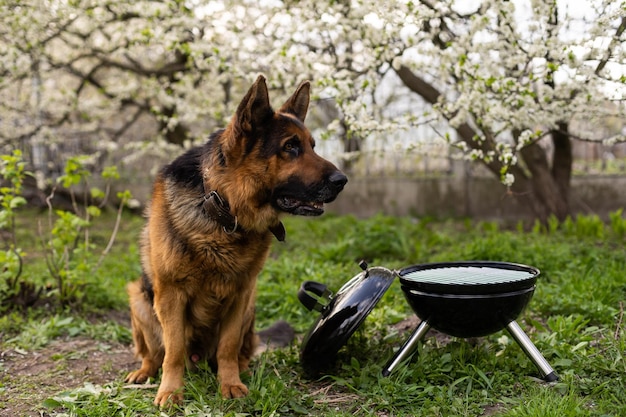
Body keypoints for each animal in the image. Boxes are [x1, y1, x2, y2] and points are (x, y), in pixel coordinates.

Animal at [123, 74, 344, 404]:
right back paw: (145, 372)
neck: (224, 208)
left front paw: (229, 384)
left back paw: (243, 369)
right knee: (153, 353)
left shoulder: (240, 293)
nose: (342, 181)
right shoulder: (171, 295)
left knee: (240, 351)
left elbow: (227, 347)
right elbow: (173, 351)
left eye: (312, 146)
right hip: (139, 298)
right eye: (290, 147)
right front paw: (171, 391)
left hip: (250, 305)